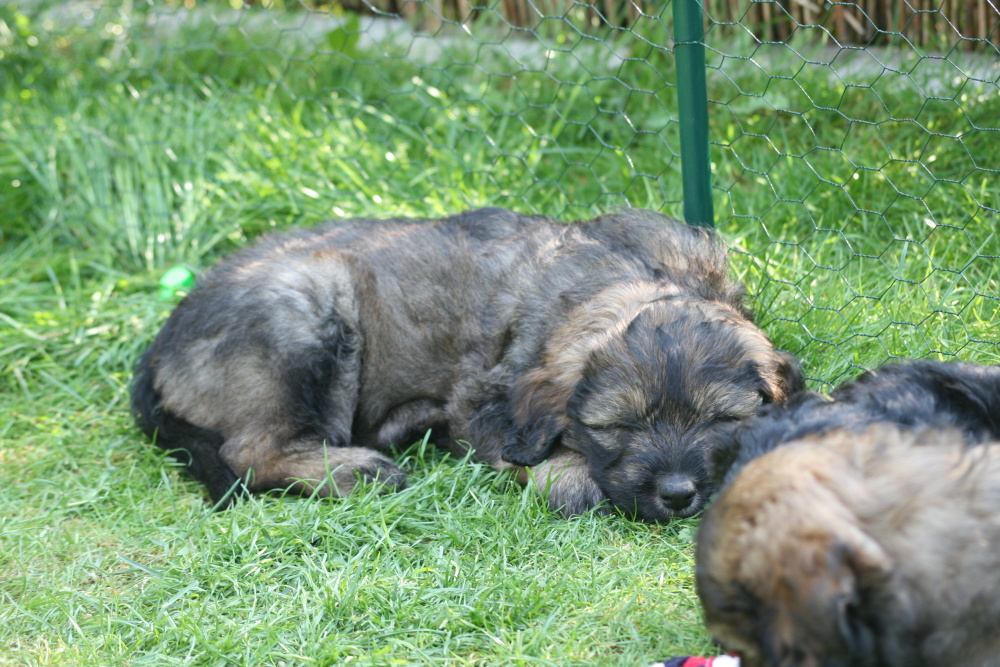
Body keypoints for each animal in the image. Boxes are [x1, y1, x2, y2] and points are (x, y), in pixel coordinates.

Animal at [133, 209, 804, 520]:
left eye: (720, 421)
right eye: (620, 427)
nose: (678, 495)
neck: (616, 278)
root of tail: (157, 347)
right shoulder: (485, 407)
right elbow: (557, 475)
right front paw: (576, 478)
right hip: (308, 308)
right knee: (248, 451)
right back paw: (354, 470)